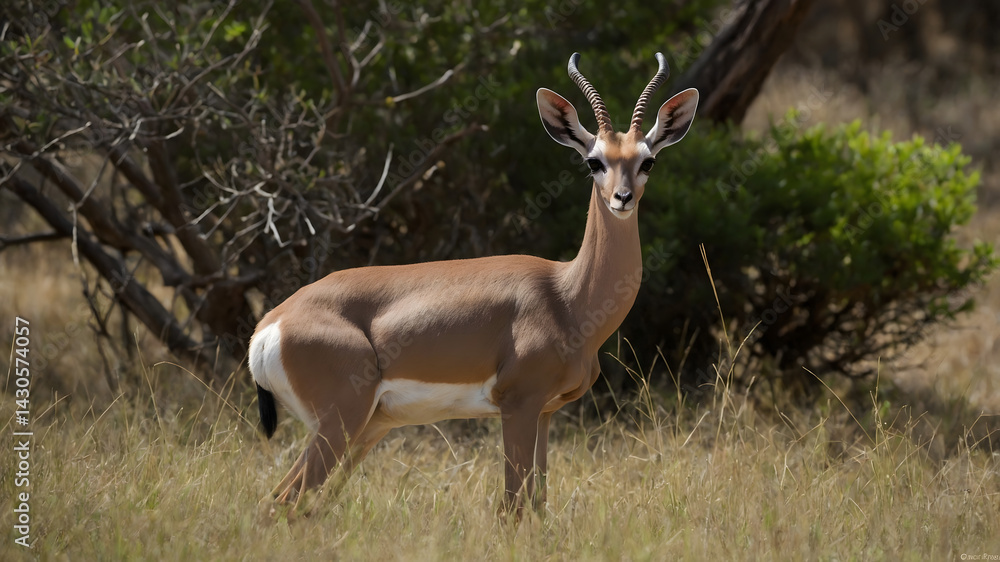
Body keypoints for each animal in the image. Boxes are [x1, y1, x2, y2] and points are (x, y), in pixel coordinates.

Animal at [248, 52, 698, 515]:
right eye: (595, 160)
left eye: (647, 160)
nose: (622, 199)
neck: (567, 297)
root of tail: (269, 325)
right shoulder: (517, 405)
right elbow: (512, 507)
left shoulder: (544, 412)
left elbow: (537, 504)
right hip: (342, 422)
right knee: (284, 499)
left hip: (367, 427)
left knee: (291, 502)